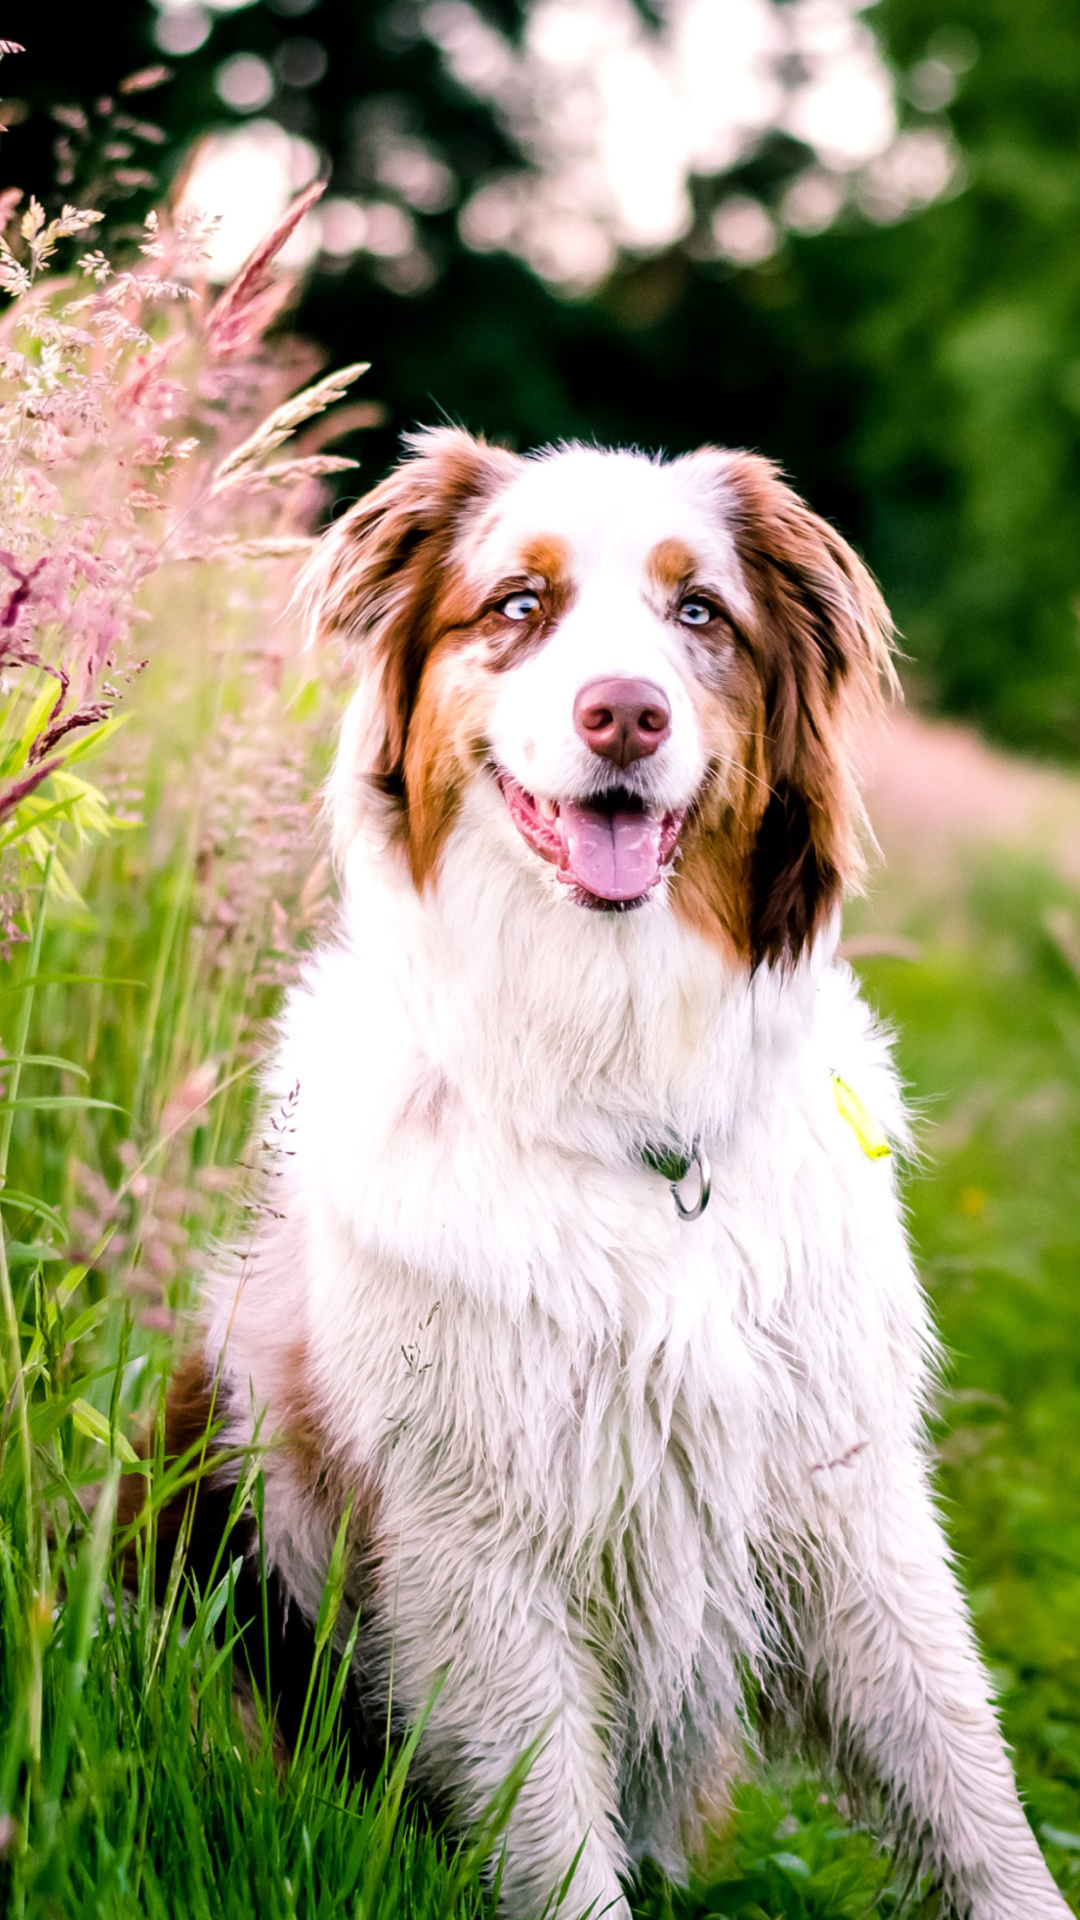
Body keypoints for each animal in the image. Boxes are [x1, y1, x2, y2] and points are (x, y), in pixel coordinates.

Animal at [151, 435, 1068, 1920]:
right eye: (518, 605)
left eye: (701, 614)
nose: (625, 714)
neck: (630, 1096)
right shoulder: (477, 1553)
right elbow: (558, 1845)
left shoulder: (849, 1496)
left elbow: (970, 1788)